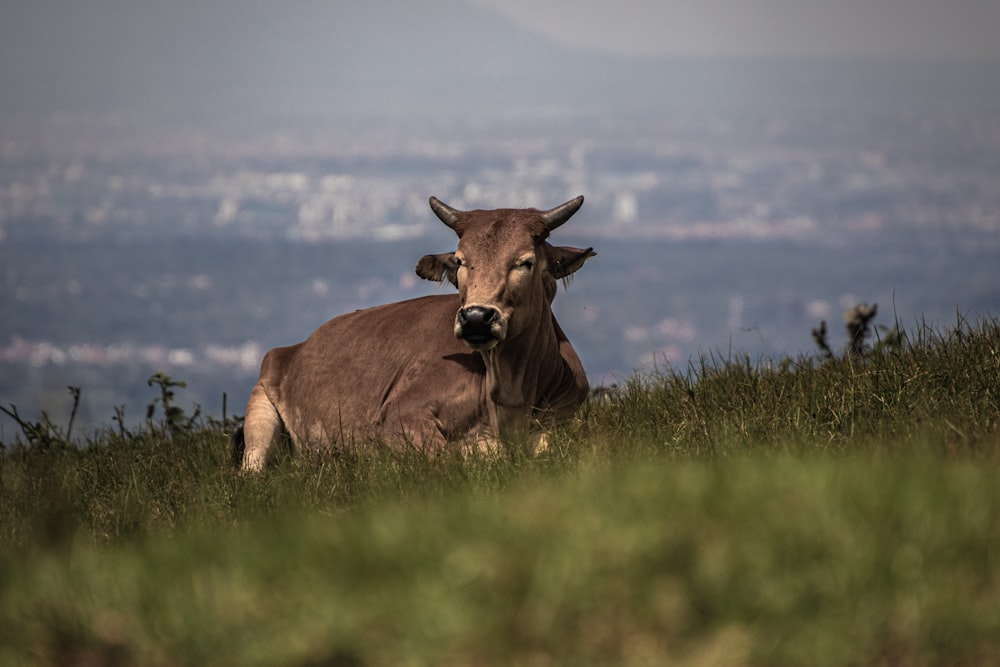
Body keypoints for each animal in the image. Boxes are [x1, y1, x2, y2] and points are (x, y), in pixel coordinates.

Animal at [233, 196, 592, 472]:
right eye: (460, 261)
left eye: (525, 262)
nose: (476, 318)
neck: (510, 395)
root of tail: (294, 348)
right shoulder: (399, 417)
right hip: (260, 414)